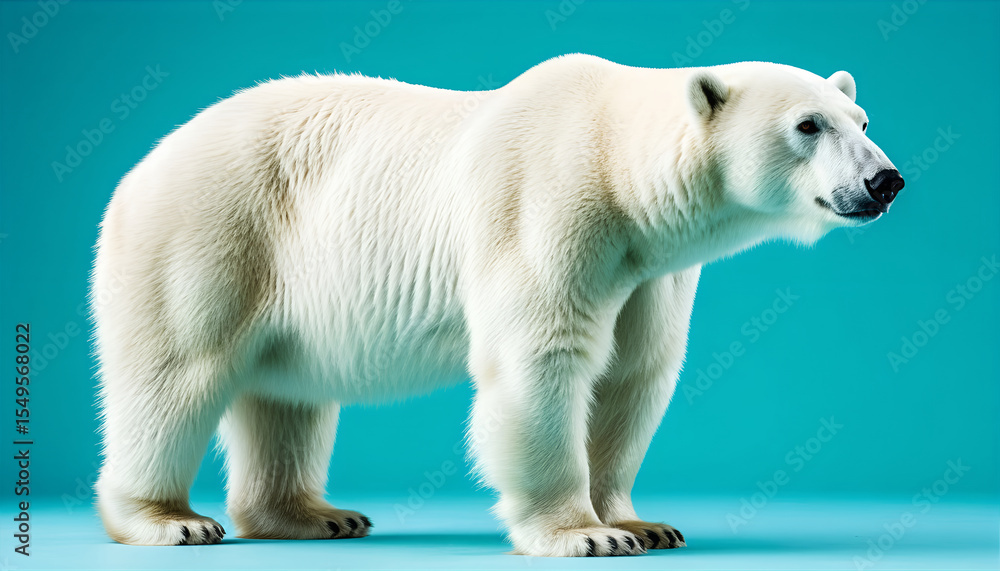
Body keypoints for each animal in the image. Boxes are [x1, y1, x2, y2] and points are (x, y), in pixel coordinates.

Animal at [91, 54, 903, 557]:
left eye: (862, 121)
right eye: (808, 125)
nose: (886, 180)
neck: (618, 165)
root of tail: (141, 167)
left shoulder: (651, 270)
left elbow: (633, 376)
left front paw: (640, 523)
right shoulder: (549, 205)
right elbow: (543, 359)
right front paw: (583, 534)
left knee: (286, 397)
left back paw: (313, 514)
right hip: (212, 230)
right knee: (176, 374)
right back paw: (169, 520)